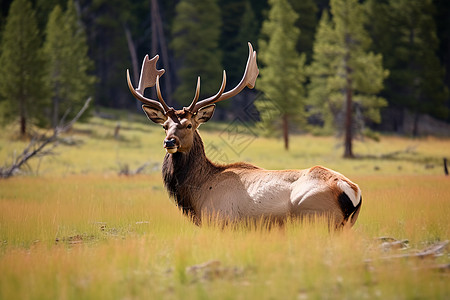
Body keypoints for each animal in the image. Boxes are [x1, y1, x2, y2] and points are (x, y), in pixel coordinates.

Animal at [126, 42, 362, 227]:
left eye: (189, 125)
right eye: (165, 126)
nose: (169, 142)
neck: (198, 193)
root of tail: (350, 189)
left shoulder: (220, 221)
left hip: (315, 217)